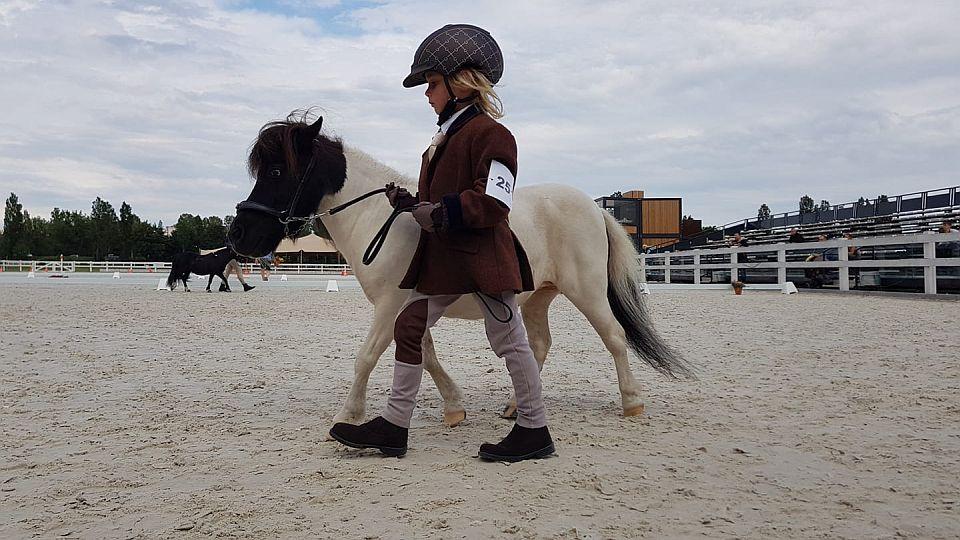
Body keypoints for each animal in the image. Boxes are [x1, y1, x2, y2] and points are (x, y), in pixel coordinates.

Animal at [227, 113, 692, 428]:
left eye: (276, 170)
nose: (238, 234)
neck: (385, 219)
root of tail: (596, 209)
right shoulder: (409, 305)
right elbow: (427, 356)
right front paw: (454, 407)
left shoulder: (389, 306)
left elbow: (367, 356)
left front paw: (347, 415)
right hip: (538, 296)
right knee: (539, 345)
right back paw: (515, 406)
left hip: (588, 291)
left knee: (614, 337)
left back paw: (632, 402)